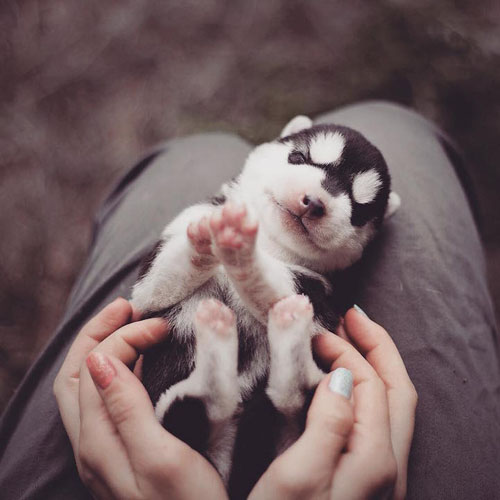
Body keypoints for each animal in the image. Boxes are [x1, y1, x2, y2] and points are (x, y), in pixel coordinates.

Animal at [131, 116, 400, 496]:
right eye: (299, 158)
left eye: (359, 211)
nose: (314, 202)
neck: (272, 242)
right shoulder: (147, 287)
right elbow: (170, 270)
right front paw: (208, 234)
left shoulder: (316, 294)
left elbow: (272, 282)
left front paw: (244, 257)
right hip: (172, 419)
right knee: (199, 406)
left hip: (305, 408)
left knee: (287, 396)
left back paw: (279, 335)